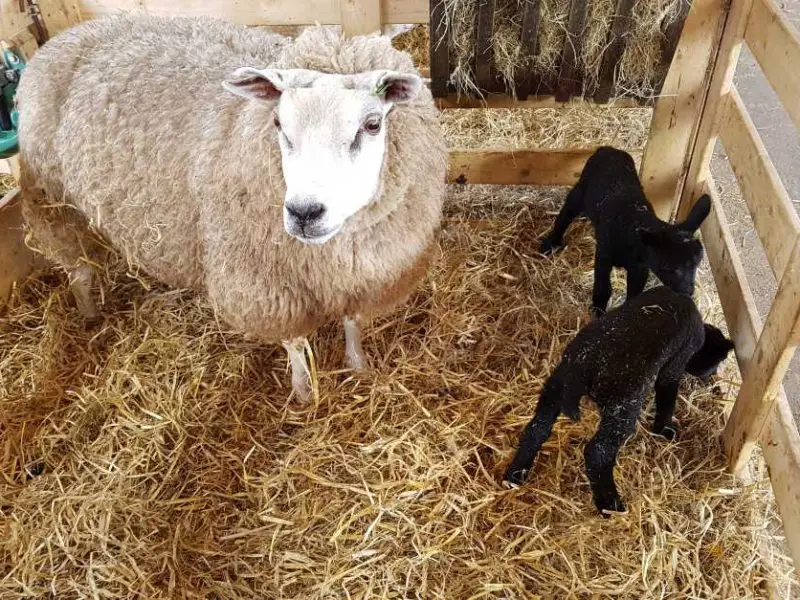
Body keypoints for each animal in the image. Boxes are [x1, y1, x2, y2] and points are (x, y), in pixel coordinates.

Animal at [15, 15, 446, 398]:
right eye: (278, 124)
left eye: (372, 125)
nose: (304, 213)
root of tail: (64, 36)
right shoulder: (263, 287)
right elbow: (293, 342)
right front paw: (303, 392)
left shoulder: (368, 277)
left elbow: (353, 323)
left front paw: (359, 368)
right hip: (55, 202)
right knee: (79, 269)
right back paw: (88, 313)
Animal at [504, 286, 736, 516]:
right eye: (716, 361)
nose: (711, 377)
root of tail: (582, 369)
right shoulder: (674, 365)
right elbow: (667, 397)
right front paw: (665, 430)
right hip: (622, 406)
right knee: (597, 452)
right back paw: (611, 506)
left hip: (554, 387)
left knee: (536, 429)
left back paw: (515, 475)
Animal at [540, 146, 708, 314]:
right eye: (667, 266)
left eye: (697, 262)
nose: (687, 292)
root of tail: (608, 149)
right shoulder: (604, 255)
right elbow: (602, 290)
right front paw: (598, 311)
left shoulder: (640, 268)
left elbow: (634, 294)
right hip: (581, 189)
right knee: (566, 213)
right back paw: (550, 244)